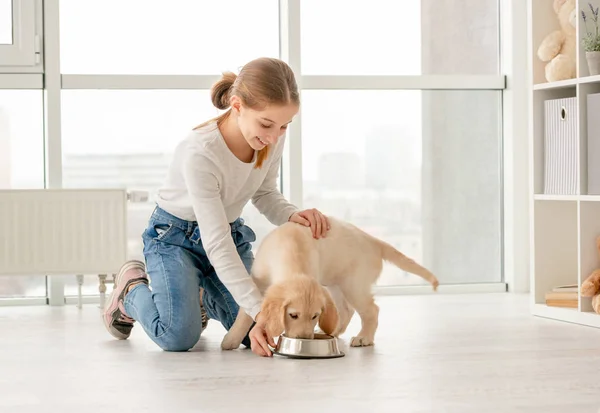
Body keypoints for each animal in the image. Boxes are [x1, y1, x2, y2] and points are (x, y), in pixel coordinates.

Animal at [223, 216, 438, 348]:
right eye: (293, 315)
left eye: (315, 316)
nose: (304, 339)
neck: (290, 250)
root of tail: (374, 241)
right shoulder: (256, 281)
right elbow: (244, 314)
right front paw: (232, 339)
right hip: (336, 283)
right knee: (346, 310)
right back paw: (334, 331)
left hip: (353, 285)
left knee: (371, 311)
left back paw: (364, 337)